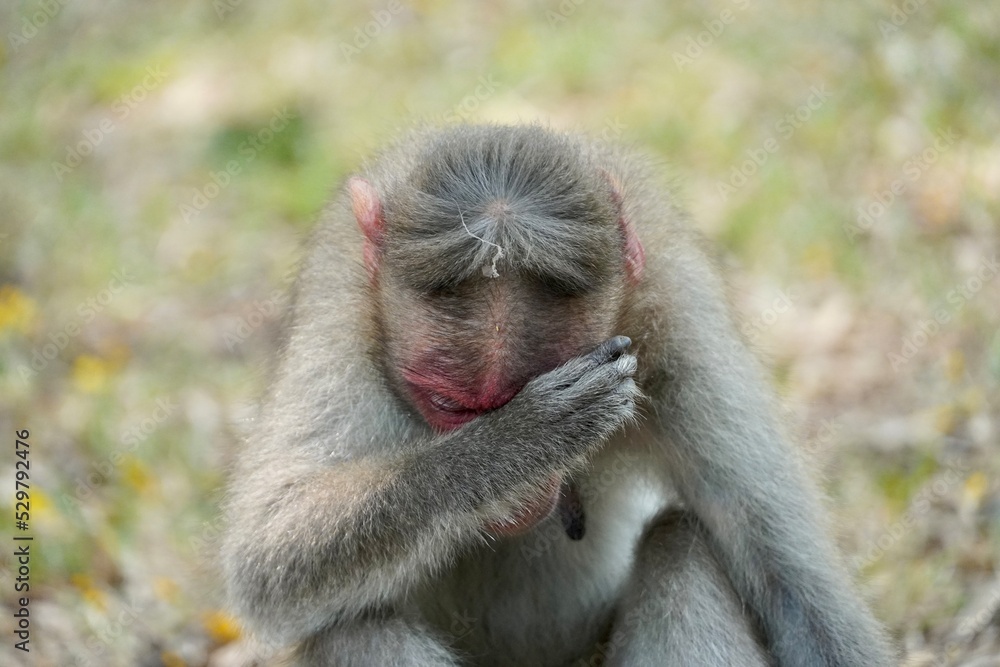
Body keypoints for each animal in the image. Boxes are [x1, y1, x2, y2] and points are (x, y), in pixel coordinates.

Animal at [221, 124, 894, 666]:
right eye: (453, 408)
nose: (532, 497)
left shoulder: (677, 317)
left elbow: (795, 586)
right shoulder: (338, 320)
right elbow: (265, 555)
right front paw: (514, 447)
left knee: (682, 546)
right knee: (354, 623)